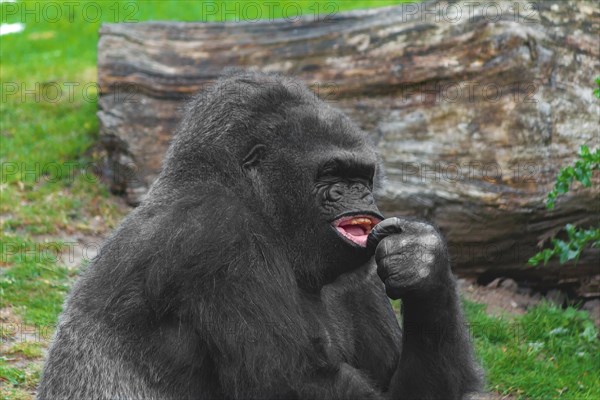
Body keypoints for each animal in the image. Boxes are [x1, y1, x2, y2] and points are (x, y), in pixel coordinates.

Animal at [37, 70, 480, 398]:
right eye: (331, 174)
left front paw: (423, 263)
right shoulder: (218, 235)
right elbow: (296, 384)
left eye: (361, 175)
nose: (359, 192)